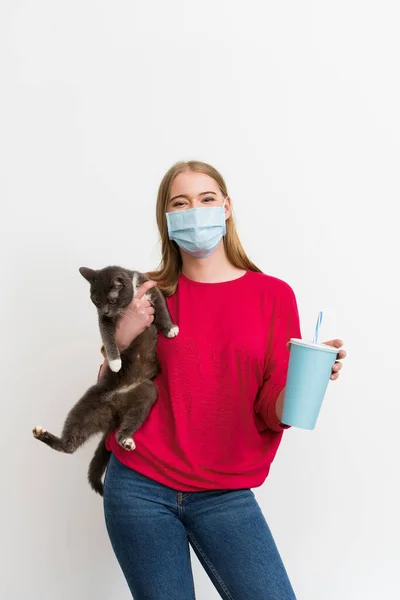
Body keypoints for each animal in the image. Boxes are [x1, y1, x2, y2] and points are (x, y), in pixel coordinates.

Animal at [32, 264, 178, 494]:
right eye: (95, 300)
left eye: (111, 300)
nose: (105, 310)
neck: (132, 296)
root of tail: (115, 412)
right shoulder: (105, 322)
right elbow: (108, 338)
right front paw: (115, 362)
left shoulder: (152, 290)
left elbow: (162, 309)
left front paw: (170, 328)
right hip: (87, 405)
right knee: (70, 443)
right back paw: (43, 434)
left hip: (146, 392)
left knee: (131, 420)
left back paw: (126, 440)